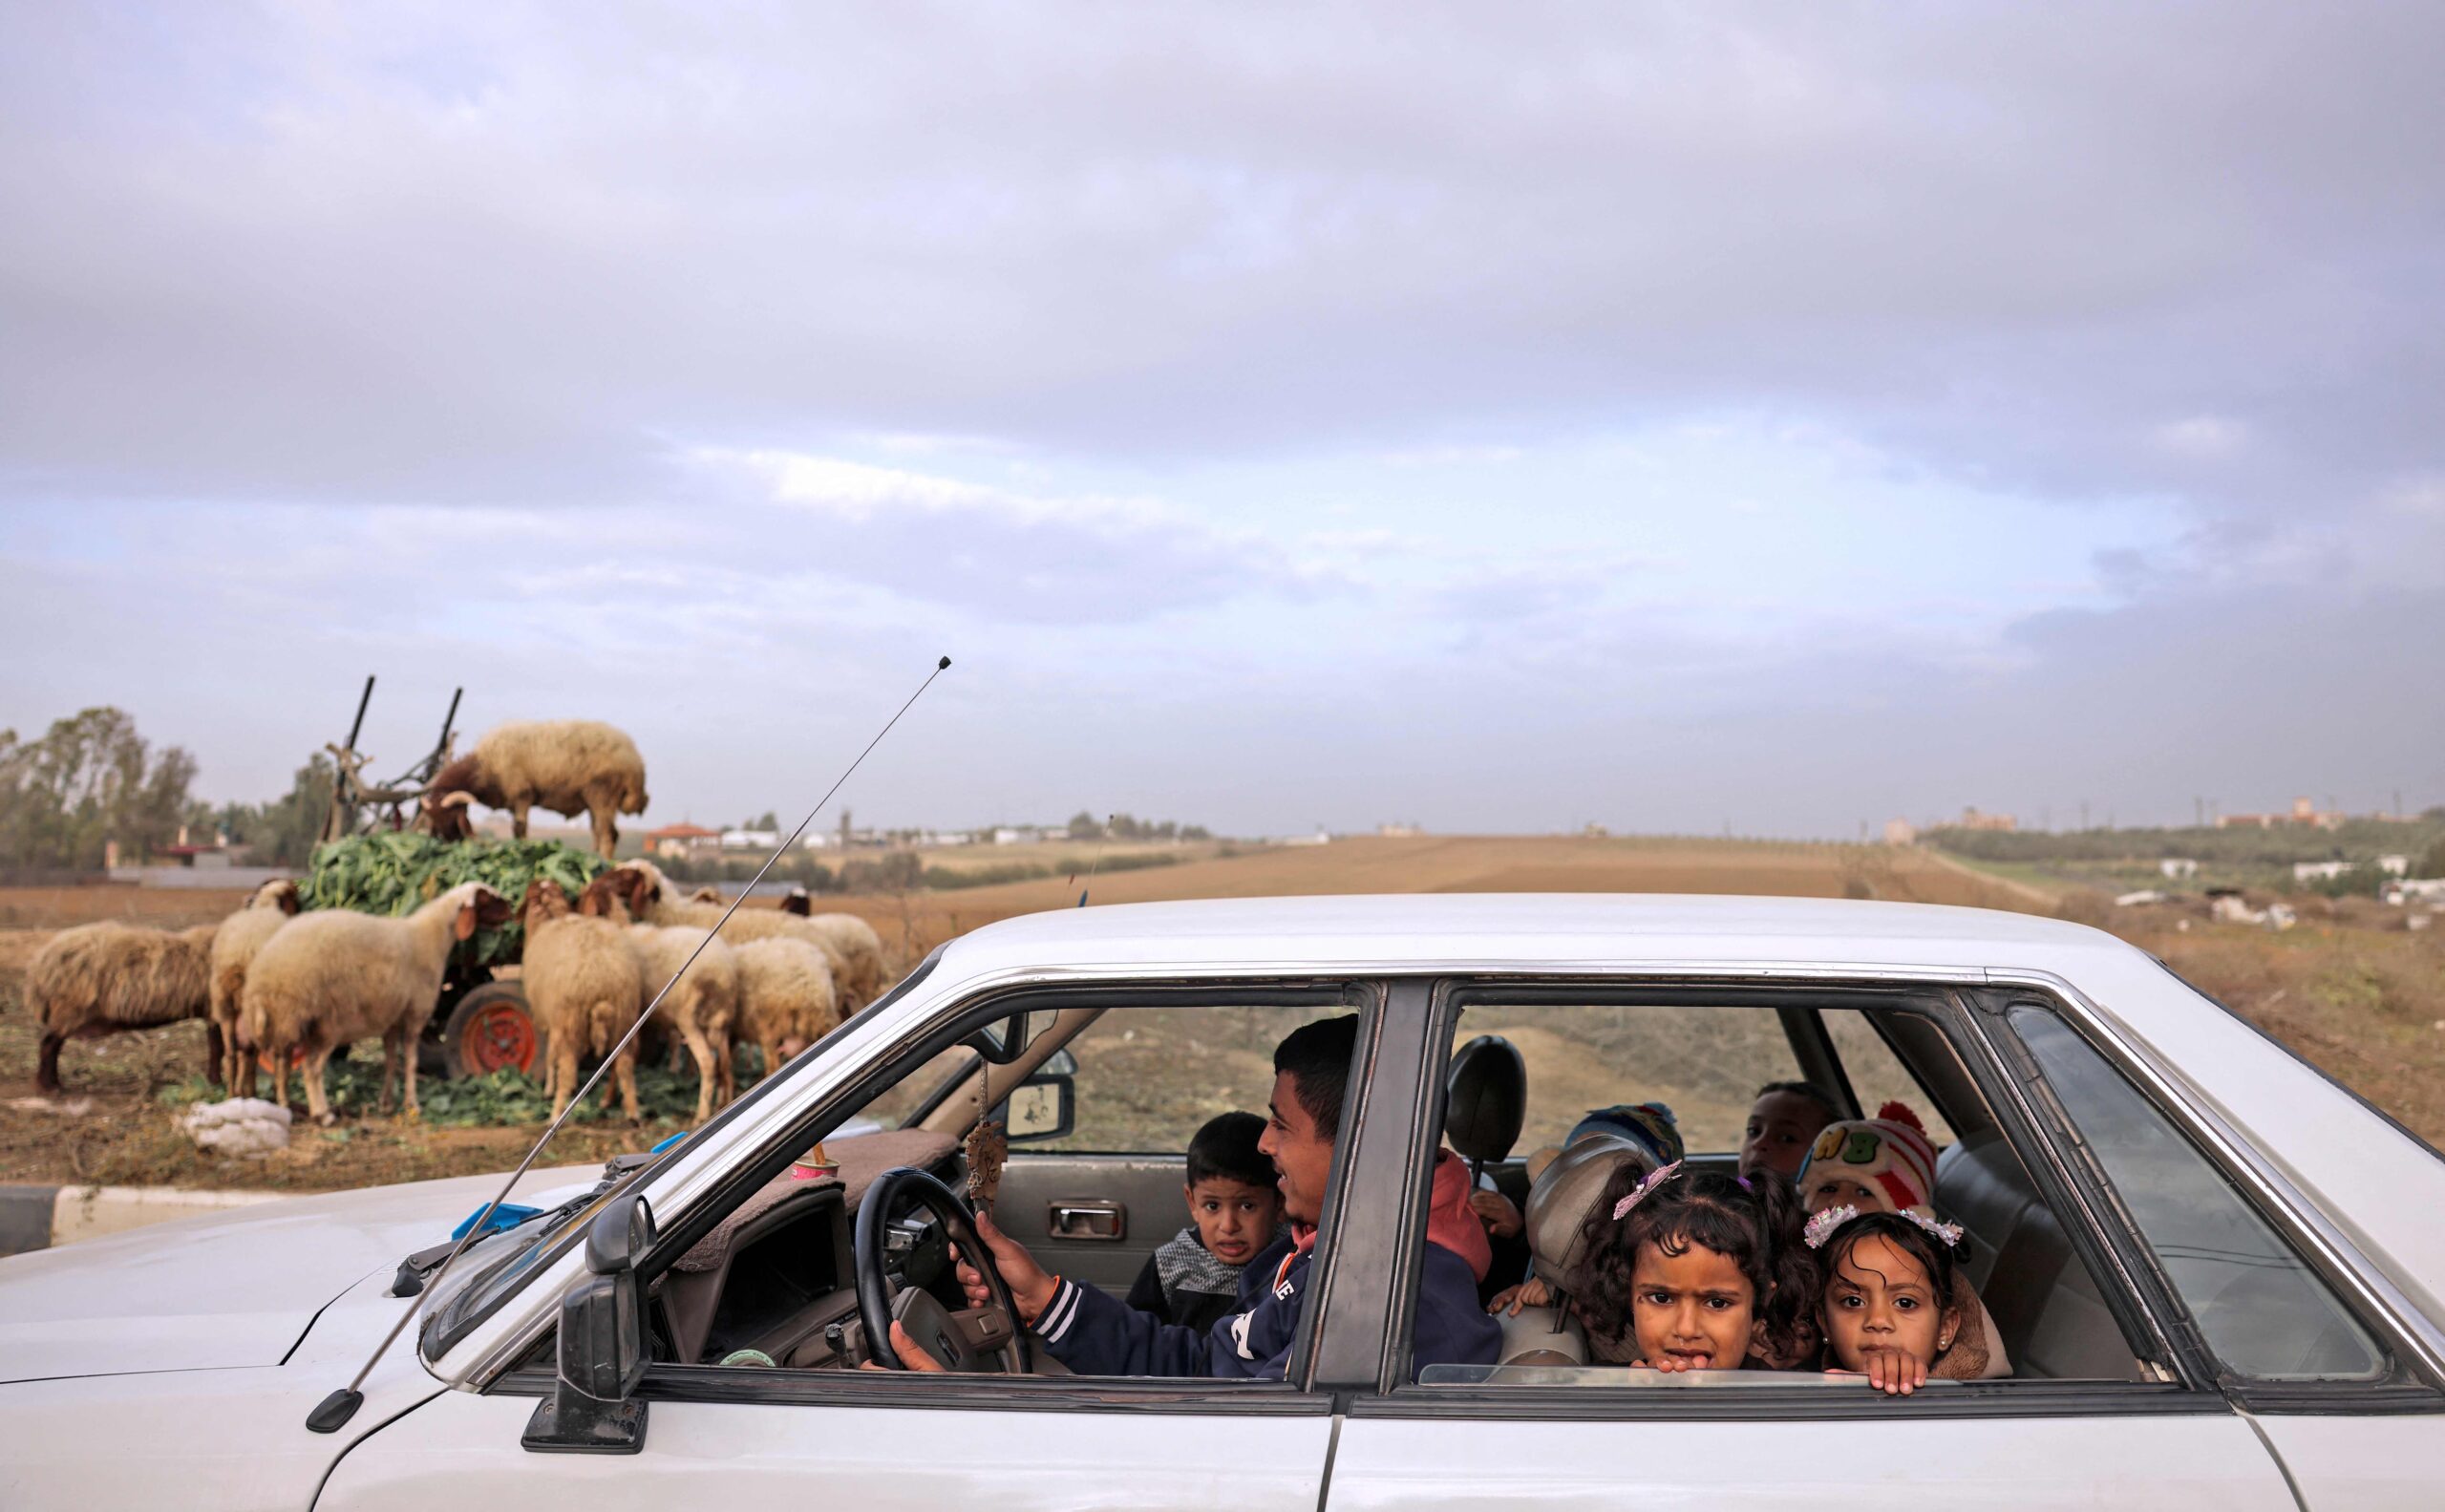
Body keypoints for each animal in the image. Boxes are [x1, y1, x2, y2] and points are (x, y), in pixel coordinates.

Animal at [27, 909, 219, 1091]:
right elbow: (217, 1049)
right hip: (69, 1009)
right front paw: (216, 1083)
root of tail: (43, 961)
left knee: (51, 1044)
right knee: (49, 1044)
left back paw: (52, 1084)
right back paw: (49, 1088)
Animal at [205, 870, 300, 1096]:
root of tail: (239, 955)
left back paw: (234, 1094)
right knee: (258, 1055)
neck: (264, 905)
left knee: (232, 1055)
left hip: (225, 1005)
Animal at [241, 870, 513, 1120]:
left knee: (282, 1064)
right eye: (488, 898)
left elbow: (391, 1061)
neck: (431, 937)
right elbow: (411, 1062)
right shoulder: (415, 1013)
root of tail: (265, 972)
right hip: (326, 1023)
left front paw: (386, 1104)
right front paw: (412, 1105)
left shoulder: (391, 1018)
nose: (512, 910)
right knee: (310, 1067)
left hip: (287, 1019)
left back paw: (285, 1106)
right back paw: (322, 1113)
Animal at [522, 870, 649, 1120]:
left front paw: (548, 1089)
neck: (548, 918)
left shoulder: (551, 1018)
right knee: (624, 1064)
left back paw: (556, 1112)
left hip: (570, 1023)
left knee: (568, 1070)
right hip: (625, 1019)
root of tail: (601, 978)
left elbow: (550, 1056)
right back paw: (631, 1112)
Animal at [577, 870, 738, 1120]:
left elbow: (620, 1058)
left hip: (689, 1020)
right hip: (720, 1024)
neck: (624, 928)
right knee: (726, 1066)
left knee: (708, 1064)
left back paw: (701, 1114)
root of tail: (721, 972)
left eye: (585, 897)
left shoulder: (631, 1015)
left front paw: (608, 1099)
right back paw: (724, 1105)